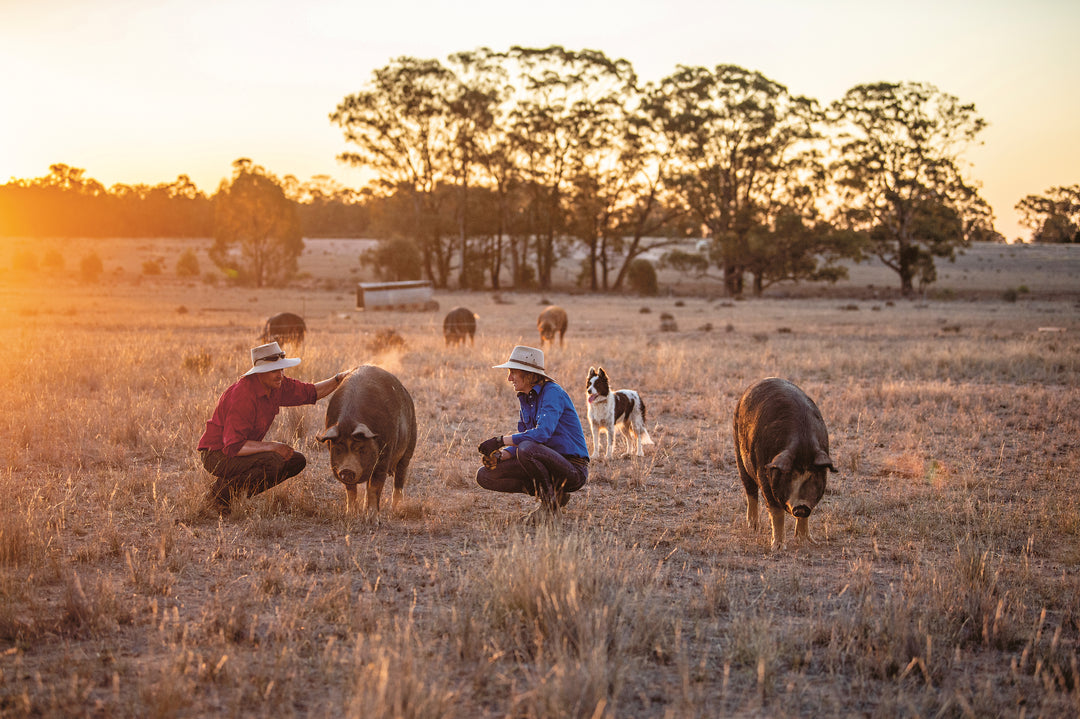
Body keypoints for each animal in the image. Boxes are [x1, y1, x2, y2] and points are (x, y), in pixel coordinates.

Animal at [315, 367, 416, 511]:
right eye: (338, 449)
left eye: (360, 449)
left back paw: (396, 509)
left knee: (400, 477)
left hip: (410, 442)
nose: (347, 470)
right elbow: (351, 490)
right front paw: (351, 513)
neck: (349, 422)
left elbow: (375, 487)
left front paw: (373, 516)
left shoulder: (384, 456)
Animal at [730, 377, 838, 550]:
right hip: (739, 453)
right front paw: (778, 547)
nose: (801, 507)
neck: (803, 446)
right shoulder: (764, 475)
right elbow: (776, 512)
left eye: (813, 476)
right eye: (789, 475)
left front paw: (807, 541)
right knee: (750, 491)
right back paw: (753, 527)